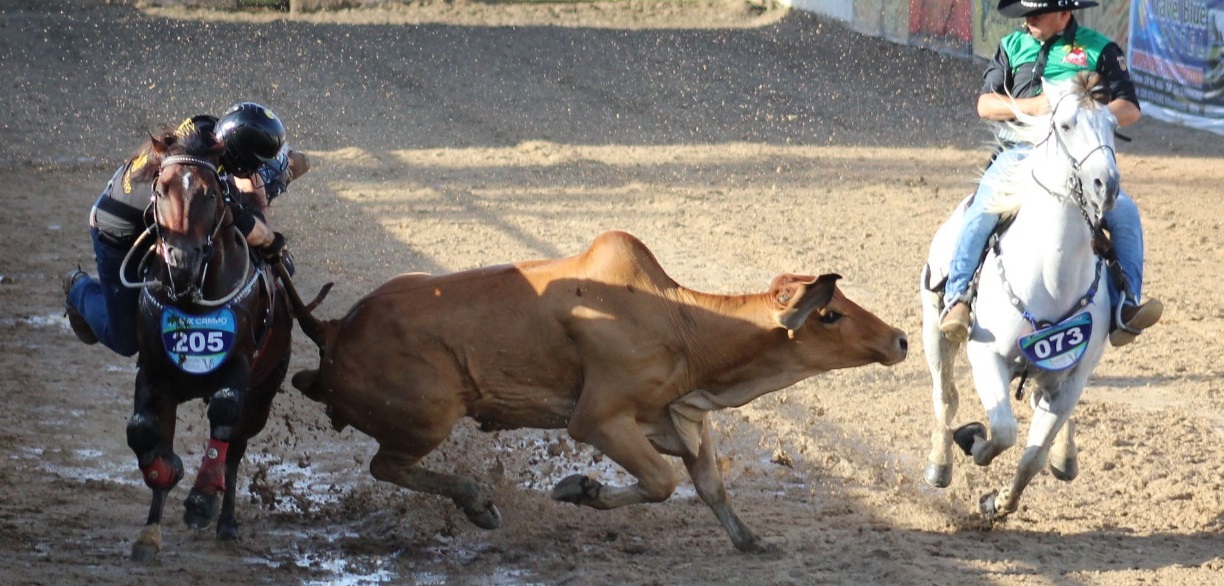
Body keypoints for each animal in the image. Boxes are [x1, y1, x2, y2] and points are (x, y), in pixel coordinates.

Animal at [119, 121, 293, 562]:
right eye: (161, 189)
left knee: (235, 448)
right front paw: (164, 480)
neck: (191, 294)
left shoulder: (239, 369)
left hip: (263, 392)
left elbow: (224, 415)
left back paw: (226, 521)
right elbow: (142, 430)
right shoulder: (153, 370)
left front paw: (201, 500)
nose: (182, 260)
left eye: (211, 192)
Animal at [291, 231, 910, 552]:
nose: (900, 339)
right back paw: (477, 502)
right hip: (429, 416)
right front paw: (577, 489)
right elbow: (660, 482)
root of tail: (334, 331)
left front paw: (752, 541)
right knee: (385, 466)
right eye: (829, 314)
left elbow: (711, 486)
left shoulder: (682, 417)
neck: (685, 325)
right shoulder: (598, 419)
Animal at [920, 72, 1121, 518]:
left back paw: (1066, 457)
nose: (1106, 185)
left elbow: (1032, 455)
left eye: (1114, 126)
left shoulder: (1072, 376)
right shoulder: (986, 354)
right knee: (945, 397)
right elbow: (1003, 432)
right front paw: (972, 440)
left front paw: (998, 504)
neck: (1051, 276)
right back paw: (939, 466)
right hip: (933, 328)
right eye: (1065, 124)